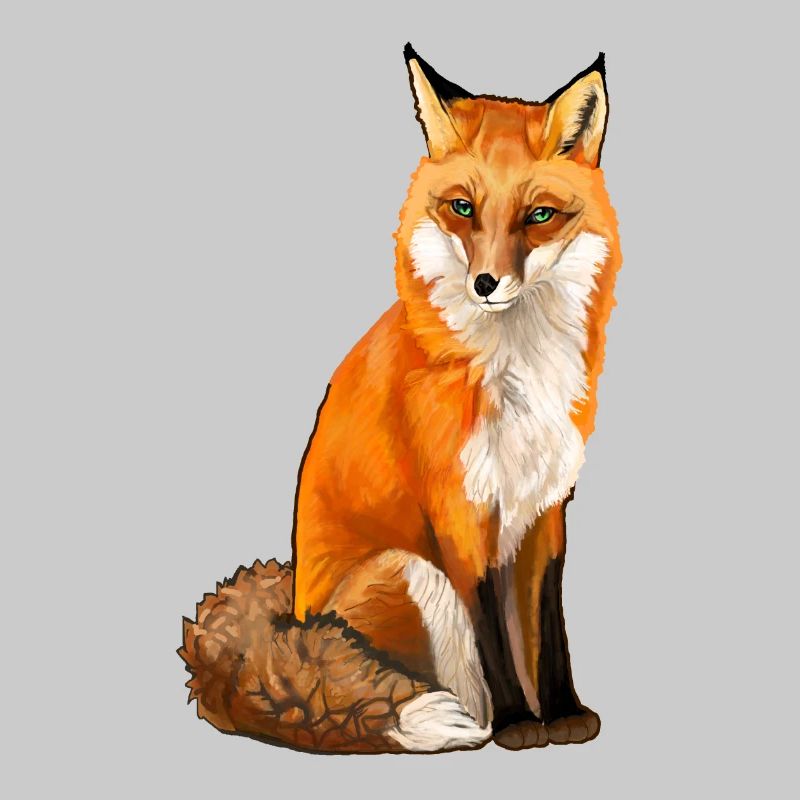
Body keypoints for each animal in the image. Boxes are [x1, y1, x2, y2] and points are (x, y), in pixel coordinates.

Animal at [181, 44, 622, 754]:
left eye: (539, 216)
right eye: (463, 208)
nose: (486, 283)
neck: (515, 371)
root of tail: (290, 616)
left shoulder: (545, 507)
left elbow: (548, 626)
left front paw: (563, 712)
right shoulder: (458, 511)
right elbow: (494, 634)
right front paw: (521, 724)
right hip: (412, 570)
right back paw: (472, 722)